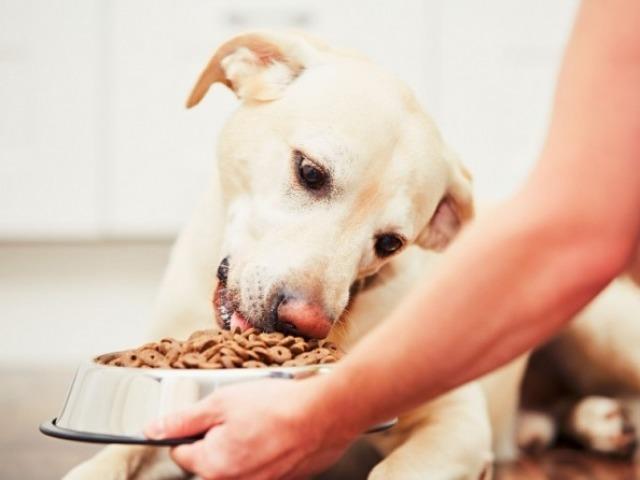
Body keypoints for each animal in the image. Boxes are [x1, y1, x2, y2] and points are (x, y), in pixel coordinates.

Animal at [66, 31, 640, 478]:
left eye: (390, 243)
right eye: (310, 171)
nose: (304, 323)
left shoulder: (456, 419)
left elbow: (394, 471)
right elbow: (109, 458)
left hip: (599, 322)